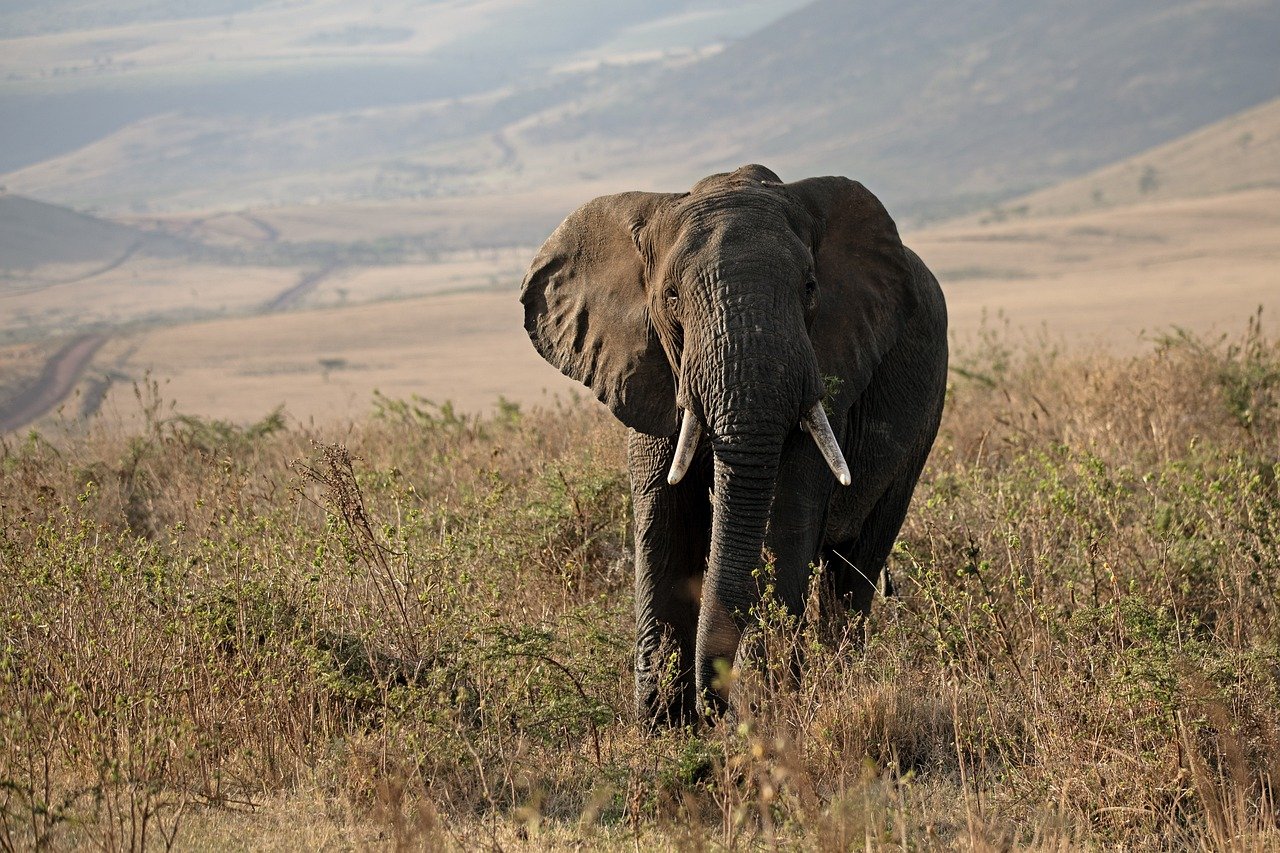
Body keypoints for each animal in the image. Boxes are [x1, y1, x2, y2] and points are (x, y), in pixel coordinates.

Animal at [519, 162, 952, 722]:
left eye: (810, 287)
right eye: (672, 298)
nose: (714, 703)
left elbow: (783, 519)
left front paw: (765, 711)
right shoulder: (648, 371)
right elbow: (664, 521)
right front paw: (663, 727)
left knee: (855, 566)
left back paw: (838, 685)